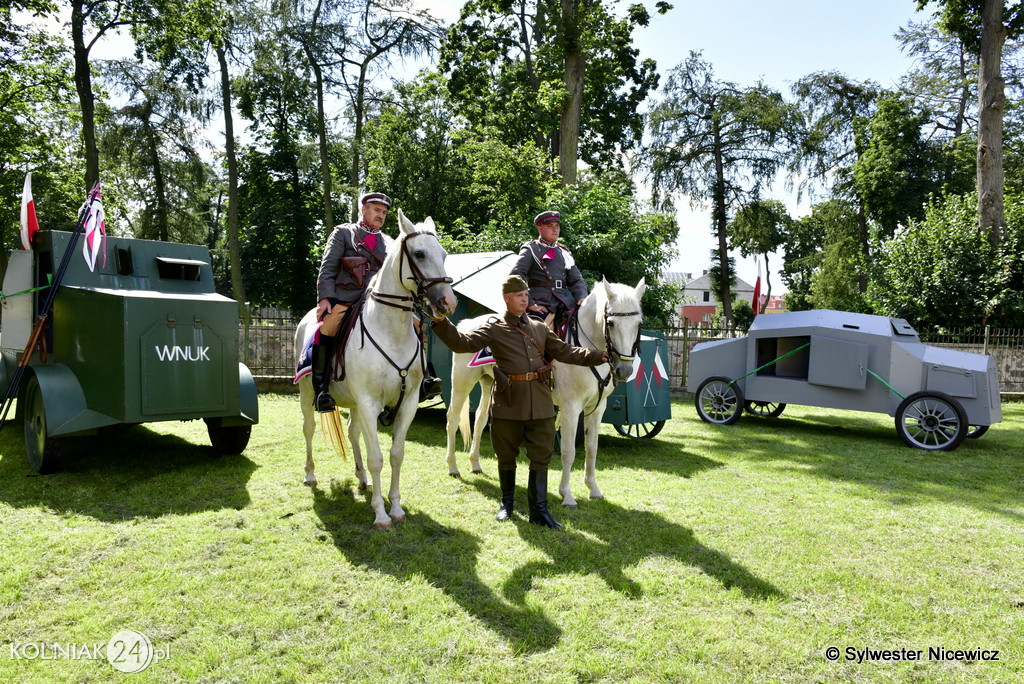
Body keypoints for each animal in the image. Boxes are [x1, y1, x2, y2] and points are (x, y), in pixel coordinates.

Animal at [296, 210, 456, 532]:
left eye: (444, 255)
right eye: (419, 254)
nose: (448, 302)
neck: (390, 331)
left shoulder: (406, 404)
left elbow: (395, 455)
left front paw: (395, 507)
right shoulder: (371, 403)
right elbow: (377, 458)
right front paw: (381, 514)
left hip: (355, 404)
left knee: (353, 433)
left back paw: (362, 479)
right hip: (308, 395)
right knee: (309, 429)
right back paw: (310, 474)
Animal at [444, 278, 643, 507]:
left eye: (638, 324)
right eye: (610, 323)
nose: (624, 370)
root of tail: (466, 325)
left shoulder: (597, 408)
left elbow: (592, 449)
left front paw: (593, 489)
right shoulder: (571, 408)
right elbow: (568, 451)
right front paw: (566, 494)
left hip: (489, 383)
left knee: (479, 419)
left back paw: (475, 464)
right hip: (462, 382)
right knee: (452, 419)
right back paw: (453, 467)